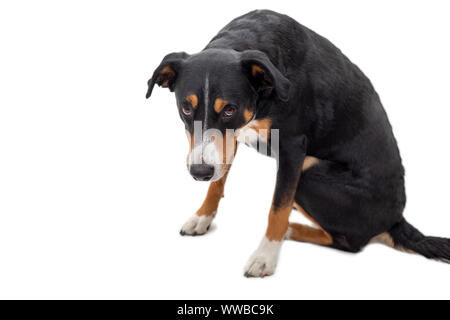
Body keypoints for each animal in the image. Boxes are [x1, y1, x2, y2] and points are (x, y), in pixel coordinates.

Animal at [146, 8, 448, 276]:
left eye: (230, 109)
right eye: (186, 108)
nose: (199, 172)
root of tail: (396, 219)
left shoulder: (291, 147)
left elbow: (277, 208)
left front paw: (266, 256)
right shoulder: (229, 138)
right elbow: (217, 182)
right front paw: (203, 216)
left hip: (310, 174)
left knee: (347, 242)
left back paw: (292, 229)